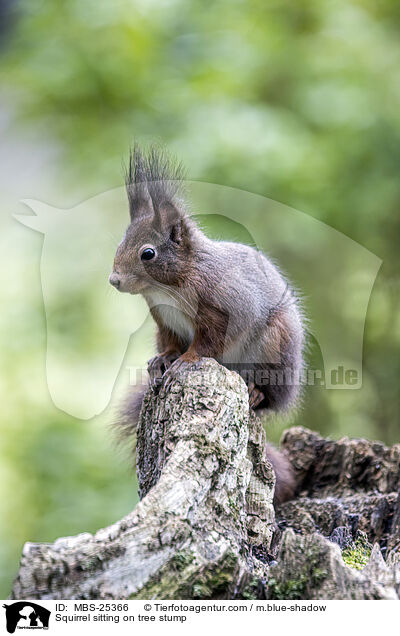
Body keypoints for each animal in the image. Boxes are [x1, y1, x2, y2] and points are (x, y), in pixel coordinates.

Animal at [108, 147, 304, 504]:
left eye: (148, 253)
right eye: (120, 244)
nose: (114, 280)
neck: (168, 288)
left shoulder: (225, 309)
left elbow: (207, 343)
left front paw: (187, 361)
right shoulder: (164, 321)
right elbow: (172, 341)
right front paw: (164, 360)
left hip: (275, 347)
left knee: (270, 397)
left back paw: (256, 392)